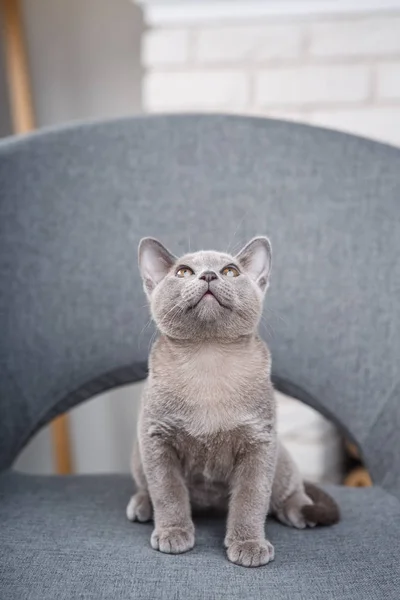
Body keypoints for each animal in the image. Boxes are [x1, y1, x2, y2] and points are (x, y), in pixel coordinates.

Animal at [126, 236, 340, 568]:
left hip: (281, 457)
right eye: (183, 272)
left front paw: (249, 545)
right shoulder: (156, 439)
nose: (209, 275)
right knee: (147, 487)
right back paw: (141, 505)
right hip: (138, 453)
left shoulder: (259, 443)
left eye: (230, 271)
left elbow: (250, 501)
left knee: (291, 491)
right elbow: (168, 492)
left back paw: (300, 513)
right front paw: (173, 533)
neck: (208, 358)